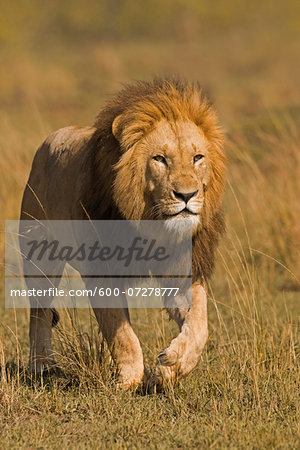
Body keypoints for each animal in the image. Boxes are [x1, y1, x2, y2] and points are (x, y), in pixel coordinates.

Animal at [19, 76, 225, 386]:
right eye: (159, 159)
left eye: (197, 157)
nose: (186, 195)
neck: (153, 226)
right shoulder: (101, 271)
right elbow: (122, 335)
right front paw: (129, 380)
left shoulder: (183, 268)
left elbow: (199, 325)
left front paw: (172, 365)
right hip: (38, 255)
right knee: (39, 311)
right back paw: (42, 364)